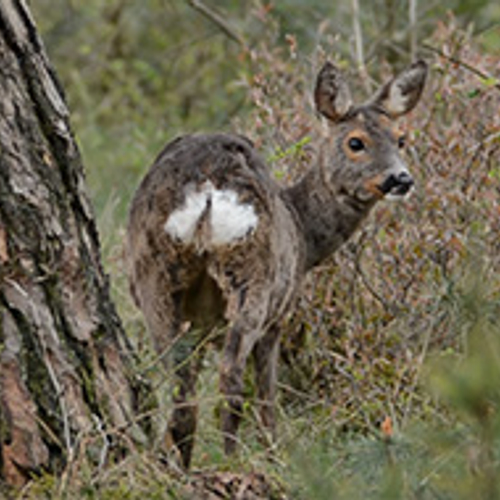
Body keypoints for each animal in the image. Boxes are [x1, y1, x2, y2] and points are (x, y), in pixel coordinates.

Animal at [127, 59, 428, 468]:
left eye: (400, 139)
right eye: (355, 142)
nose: (401, 179)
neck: (305, 232)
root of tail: (207, 187)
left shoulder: (198, 325)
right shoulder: (279, 316)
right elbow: (268, 395)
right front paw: (273, 452)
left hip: (155, 276)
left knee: (181, 386)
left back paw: (179, 467)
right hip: (255, 277)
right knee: (231, 375)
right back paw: (233, 460)